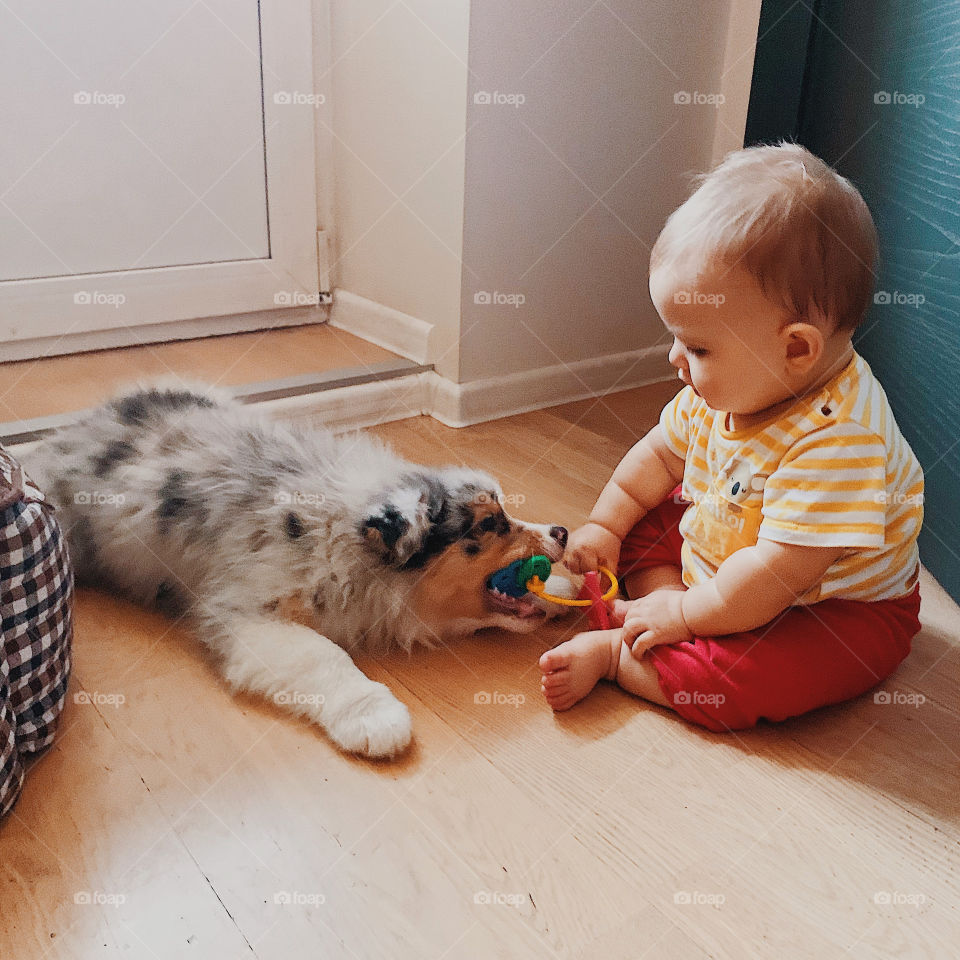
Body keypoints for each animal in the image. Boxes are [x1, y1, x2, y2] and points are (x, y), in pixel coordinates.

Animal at [30, 382, 568, 756]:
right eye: (491, 524)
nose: (562, 531)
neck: (345, 535)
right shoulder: (248, 610)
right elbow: (322, 655)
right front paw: (375, 717)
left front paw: (563, 583)